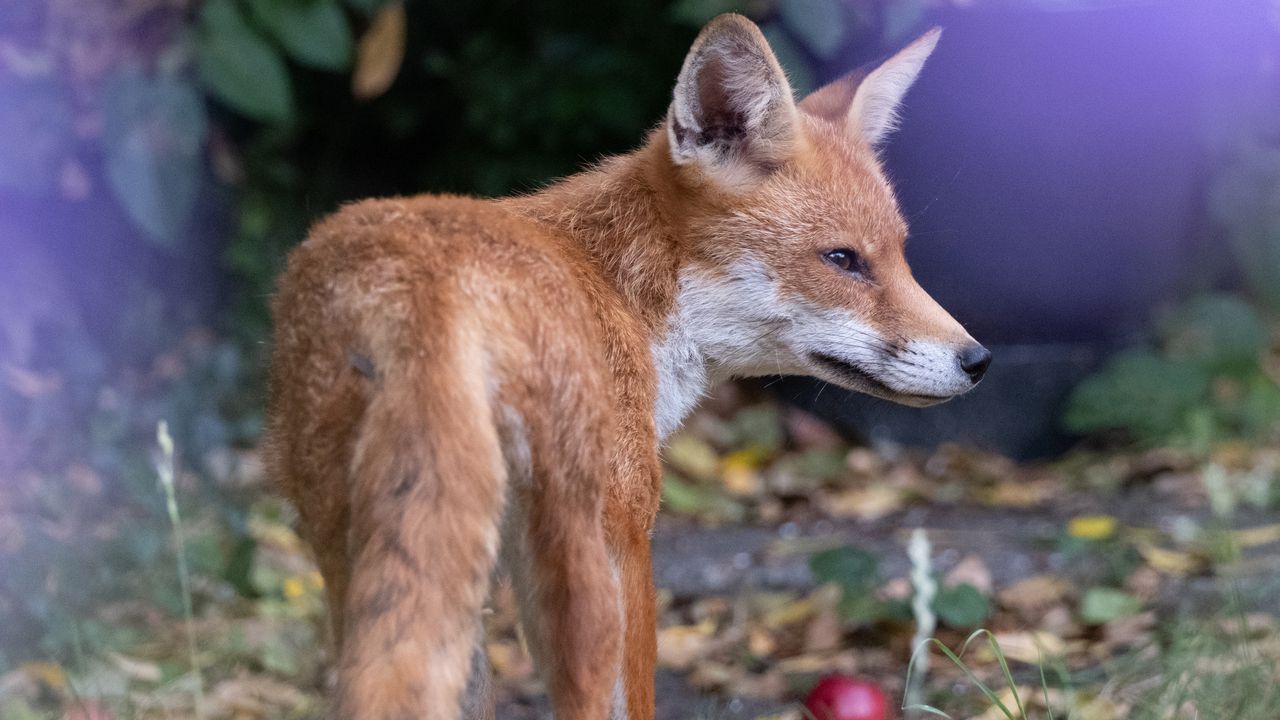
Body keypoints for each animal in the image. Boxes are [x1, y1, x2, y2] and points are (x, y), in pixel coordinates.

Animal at [264, 13, 988, 720]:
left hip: (363, 557)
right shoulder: (630, 531)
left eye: (900, 255)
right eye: (842, 260)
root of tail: (429, 294)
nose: (978, 360)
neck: (621, 289)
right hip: (575, 572)